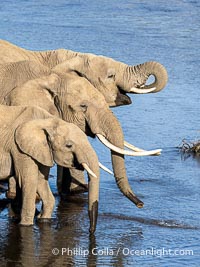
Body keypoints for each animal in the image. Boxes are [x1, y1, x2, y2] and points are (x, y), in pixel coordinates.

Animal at [0, 104, 99, 234]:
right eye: (69, 145)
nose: (90, 230)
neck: (47, 121)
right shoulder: (19, 148)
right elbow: (28, 181)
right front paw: (26, 225)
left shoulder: (42, 150)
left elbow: (41, 180)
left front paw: (43, 219)